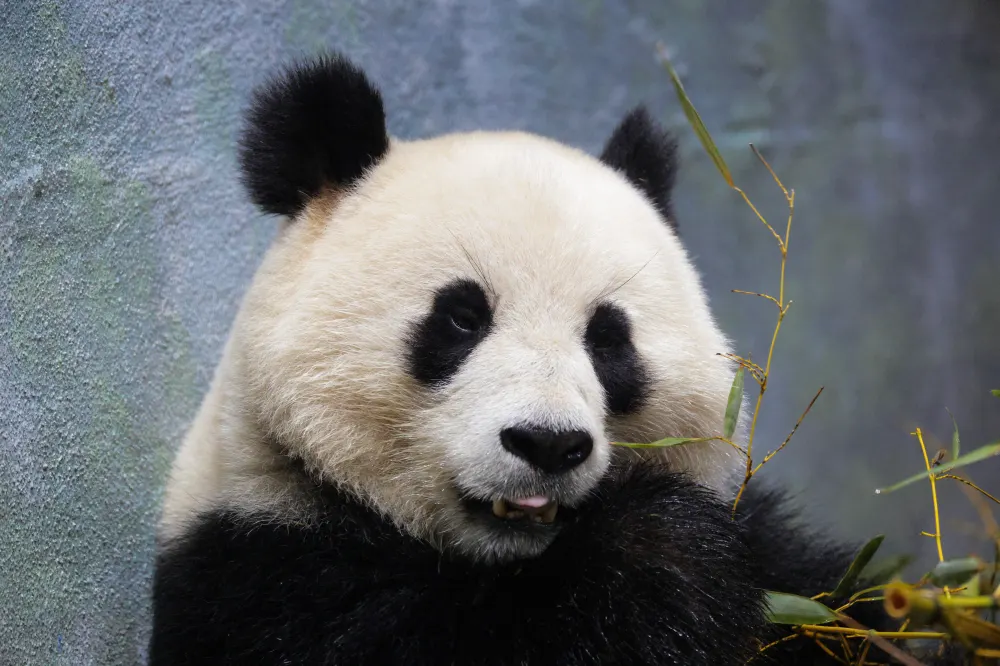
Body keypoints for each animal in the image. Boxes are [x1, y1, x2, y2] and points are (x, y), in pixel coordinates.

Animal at [149, 52, 937, 665]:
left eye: (609, 339)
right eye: (461, 319)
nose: (548, 444)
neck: (509, 558)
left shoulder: (787, 561)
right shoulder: (264, 570)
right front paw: (667, 550)